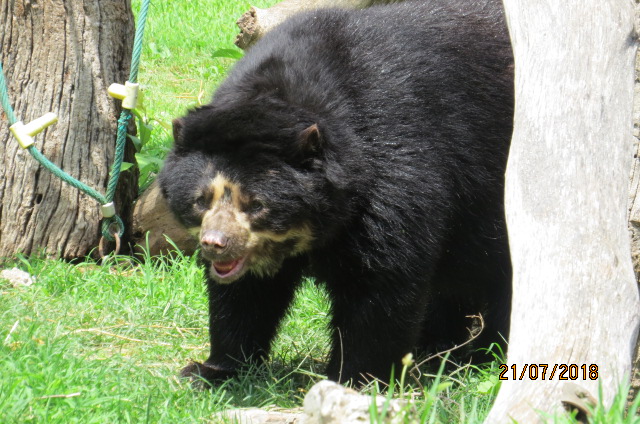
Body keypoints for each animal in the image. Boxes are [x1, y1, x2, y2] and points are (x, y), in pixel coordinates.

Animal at [159, 0, 514, 386]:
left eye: (256, 205)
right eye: (201, 200)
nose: (215, 243)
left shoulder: (396, 170)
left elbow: (379, 281)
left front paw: (354, 379)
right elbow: (244, 295)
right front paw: (211, 369)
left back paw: (485, 352)